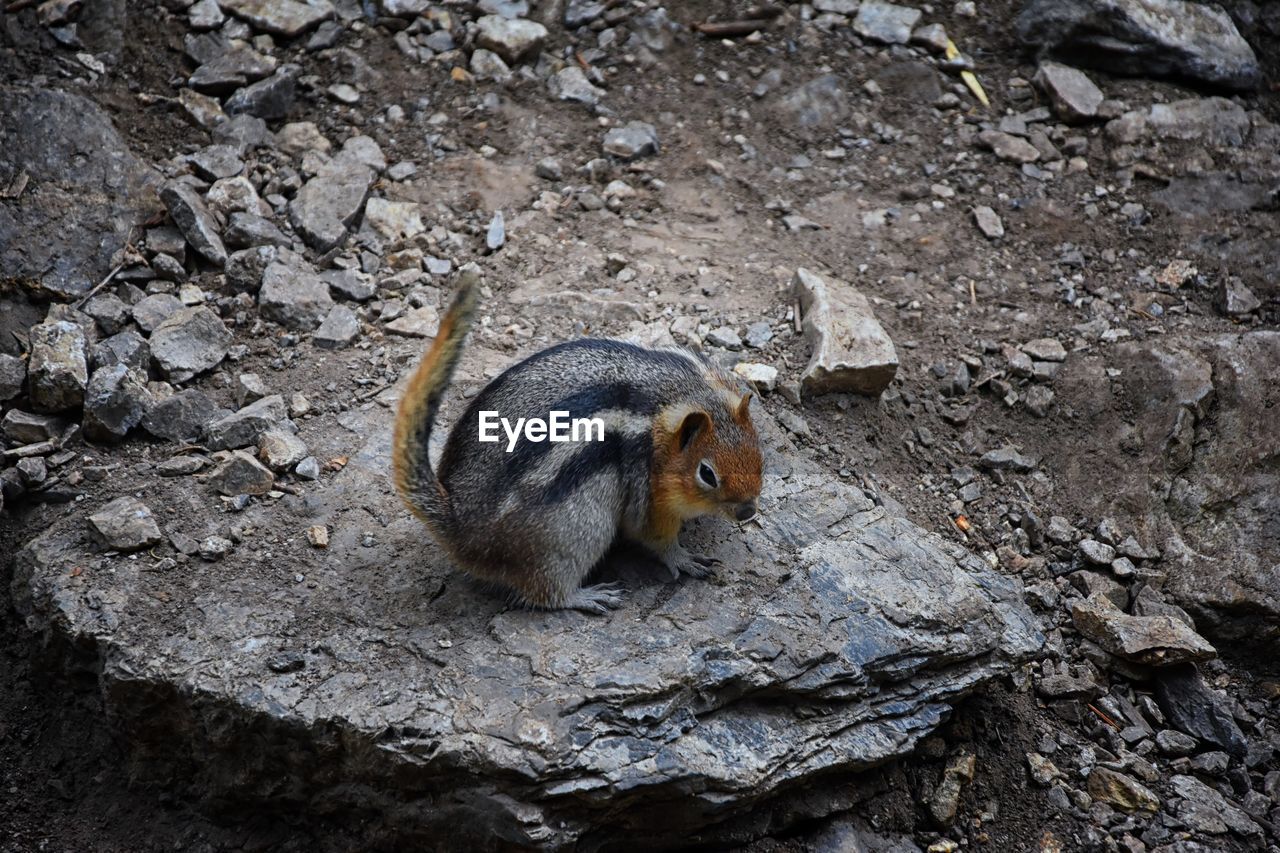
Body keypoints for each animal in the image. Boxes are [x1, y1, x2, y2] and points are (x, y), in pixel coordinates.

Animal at [391, 274, 757, 612]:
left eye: (759, 454)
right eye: (707, 474)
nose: (748, 511)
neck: (680, 396)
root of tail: (458, 527)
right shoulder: (646, 491)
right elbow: (653, 535)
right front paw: (683, 558)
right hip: (574, 534)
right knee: (545, 592)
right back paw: (587, 596)